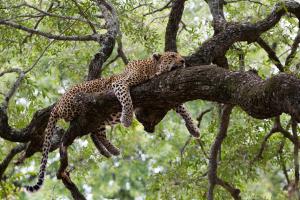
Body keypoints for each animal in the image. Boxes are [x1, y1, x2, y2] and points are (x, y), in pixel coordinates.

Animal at [25, 51, 199, 192]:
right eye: (172, 56)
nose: (183, 60)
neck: (153, 69)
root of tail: (58, 103)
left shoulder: (163, 91)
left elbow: (183, 109)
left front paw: (193, 129)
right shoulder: (121, 83)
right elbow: (127, 99)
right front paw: (127, 119)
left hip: (99, 119)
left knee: (97, 133)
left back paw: (112, 150)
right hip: (79, 103)